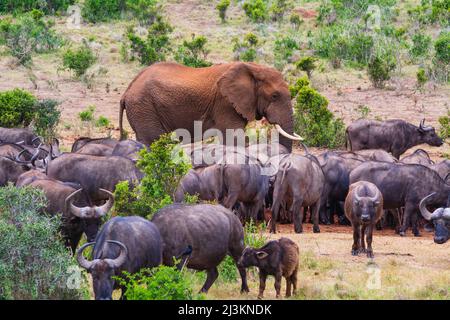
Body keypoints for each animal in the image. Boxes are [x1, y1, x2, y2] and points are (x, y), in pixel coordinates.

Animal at [119, 63, 302, 152]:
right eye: (274, 96)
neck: (254, 68)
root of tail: (126, 92)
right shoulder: (224, 103)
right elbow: (235, 137)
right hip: (143, 107)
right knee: (152, 140)